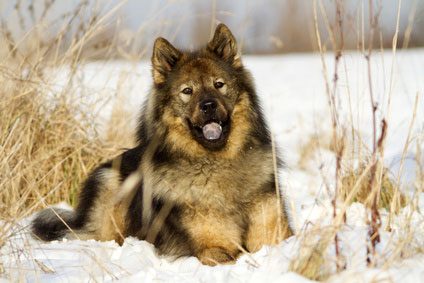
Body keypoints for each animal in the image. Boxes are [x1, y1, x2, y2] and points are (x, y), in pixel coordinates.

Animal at [31, 23, 294, 266]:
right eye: (187, 91)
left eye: (219, 84)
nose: (208, 105)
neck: (218, 163)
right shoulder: (213, 247)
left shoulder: (276, 232)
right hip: (110, 184)